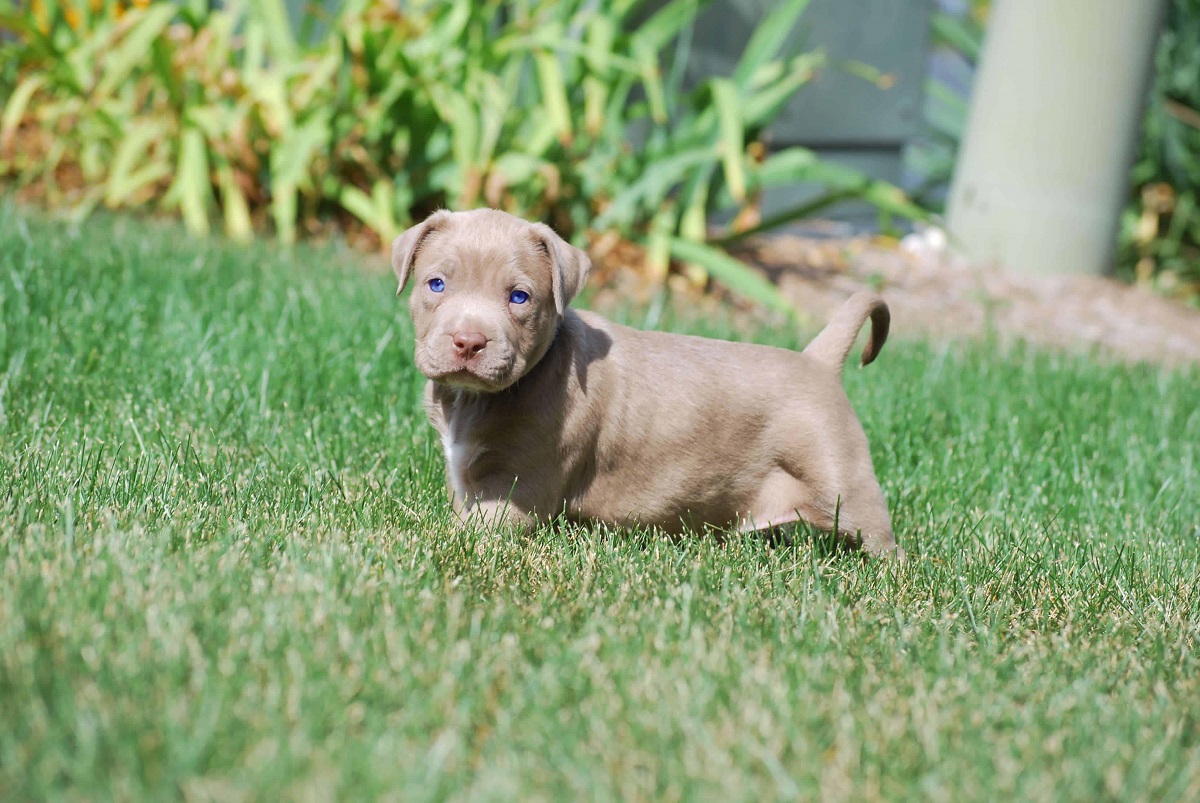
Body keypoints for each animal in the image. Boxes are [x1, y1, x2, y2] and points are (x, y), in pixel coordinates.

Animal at [393, 210, 902, 554]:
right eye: (436, 284)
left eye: (519, 297)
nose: (468, 341)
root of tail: (817, 361)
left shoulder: (517, 488)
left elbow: (468, 532)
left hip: (842, 479)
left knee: (878, 536)